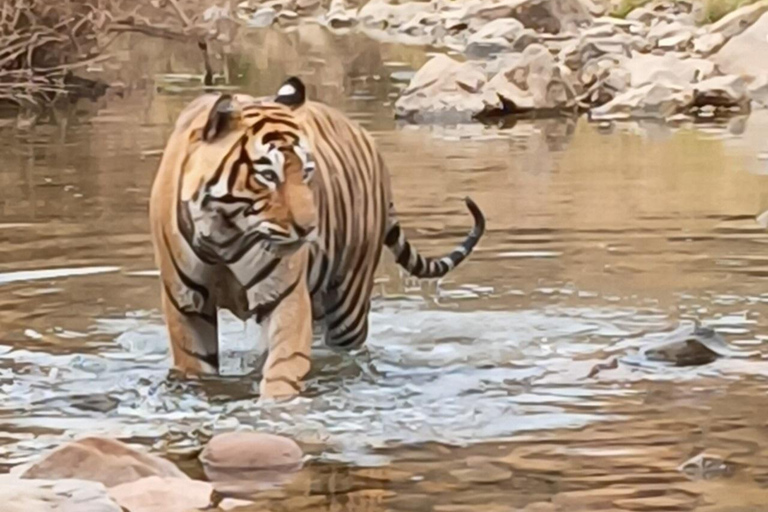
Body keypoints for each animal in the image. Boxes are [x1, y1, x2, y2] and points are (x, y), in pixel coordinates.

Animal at [149, 77, 485, 399]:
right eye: (268, 176)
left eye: (307, 171)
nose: (309, 228)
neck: (226, 235)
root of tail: (365, 136)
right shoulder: (186, 306)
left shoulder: (284, 296)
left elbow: (283, 369)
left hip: (349, 303)